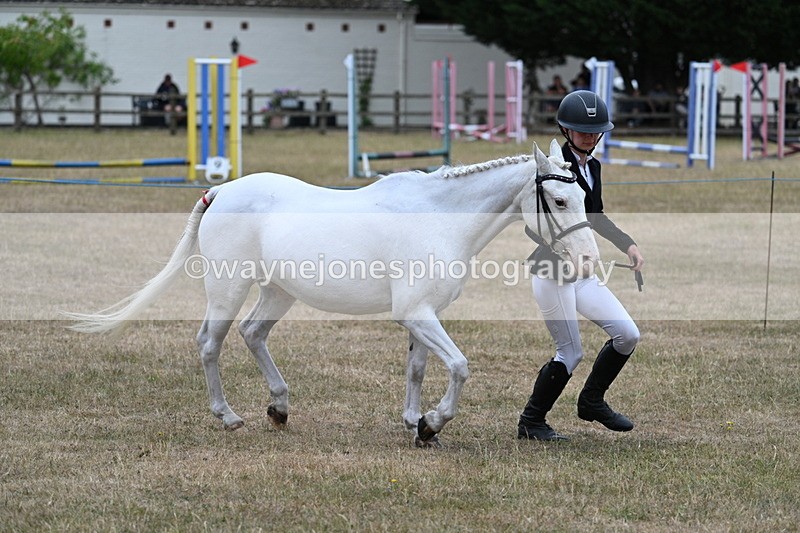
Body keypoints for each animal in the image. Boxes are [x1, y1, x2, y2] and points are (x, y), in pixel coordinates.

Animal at [66, 139, 599, 447]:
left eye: (581, 194)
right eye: (557, 200)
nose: (588, 263)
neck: (439, 218)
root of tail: (222, 190)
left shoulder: (421, 315)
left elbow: (418, 368)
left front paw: (414, 424)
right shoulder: (417, 312)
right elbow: (460, 367)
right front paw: (433, 422)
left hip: (277, 292)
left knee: (252, 333)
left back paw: (279, 409)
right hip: (228, 287)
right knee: (209, 343)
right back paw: (229, 417)